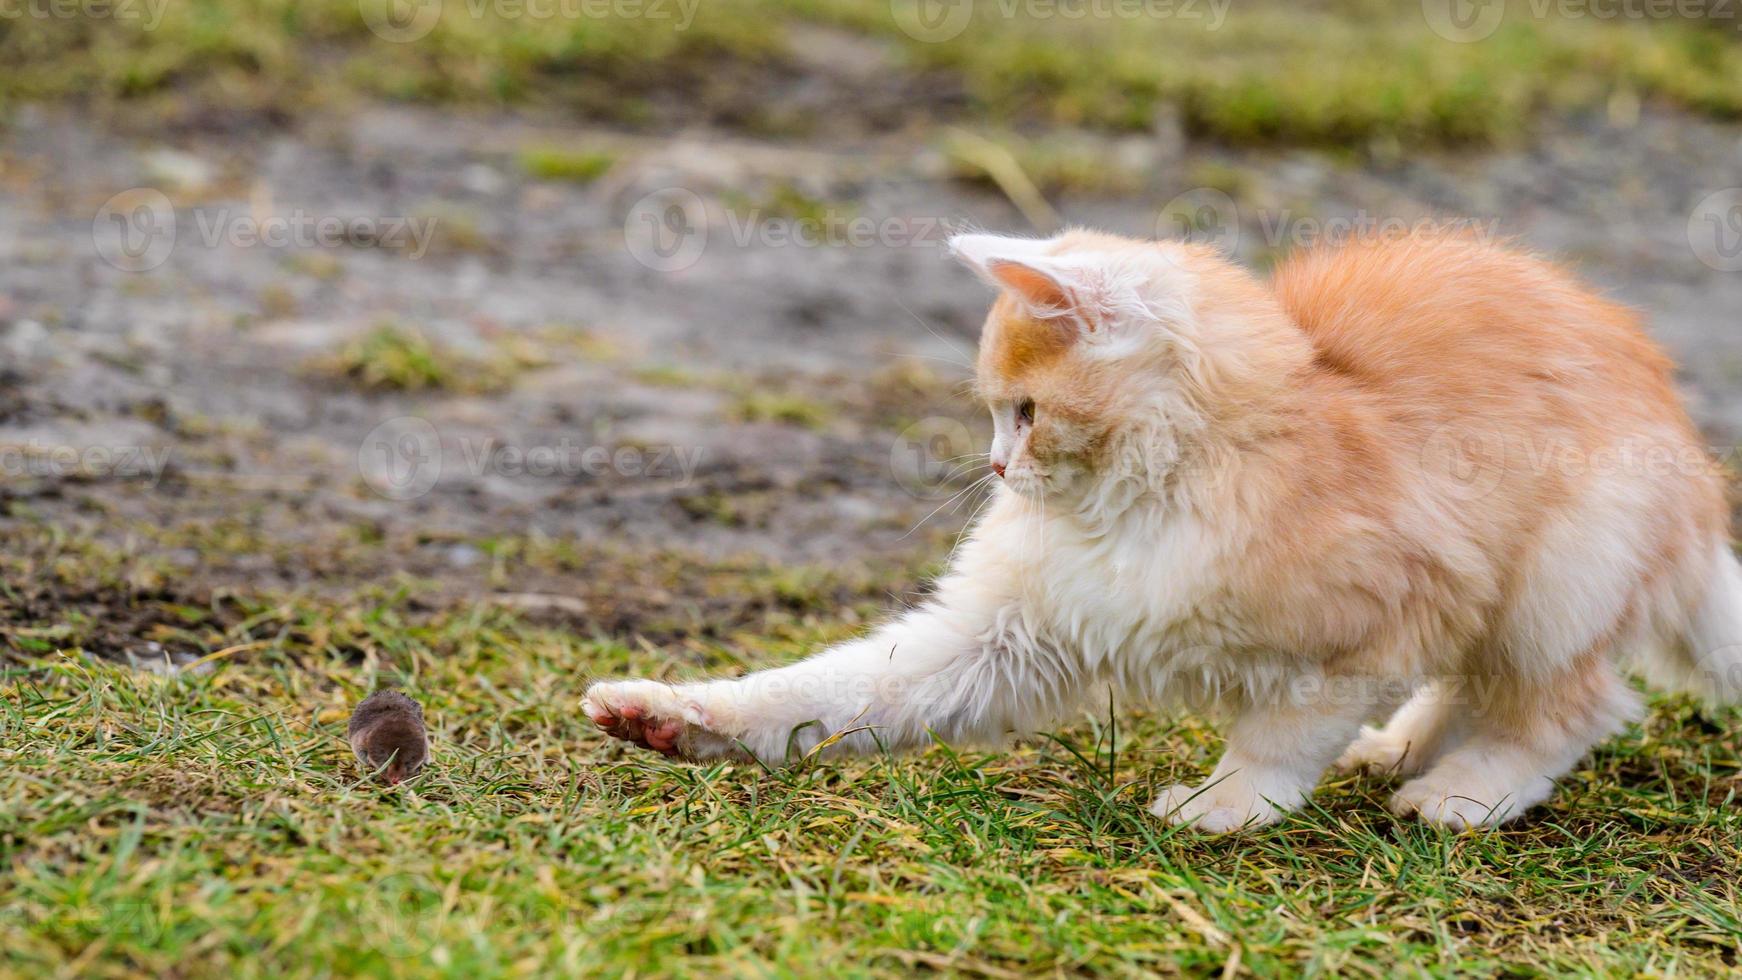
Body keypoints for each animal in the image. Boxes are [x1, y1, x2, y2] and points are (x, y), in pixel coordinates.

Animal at [588, 228, 1742, 828]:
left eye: (1024, 411)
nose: (996, 469)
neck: (1146, 499)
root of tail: (1686, 462)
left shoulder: (1376, 620)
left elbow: (1279, 735)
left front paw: (1225, 807)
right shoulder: (1000, 635)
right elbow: (828, 692)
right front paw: (670, 718)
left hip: (1556, 580)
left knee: (1581, 705)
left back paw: (1463, 790)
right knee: (1478, 687)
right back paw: (1403, 749)